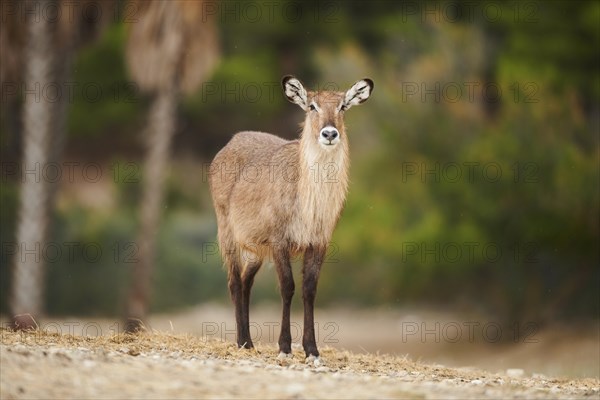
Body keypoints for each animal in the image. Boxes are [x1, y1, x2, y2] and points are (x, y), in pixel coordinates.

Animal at [209, 76, 372, 366]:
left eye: (342, 106)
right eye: (311, 106)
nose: (329, 134)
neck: (309, 201)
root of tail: (231, 141)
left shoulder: (319, 242)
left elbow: (309, 290)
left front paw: (312, 350)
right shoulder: (279, 241)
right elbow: (287, 288)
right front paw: (284, 347)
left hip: (256, 249)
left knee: (246, 282)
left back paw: (249, 341)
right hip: (227, 233)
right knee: (234, 282)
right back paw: (241, 342)